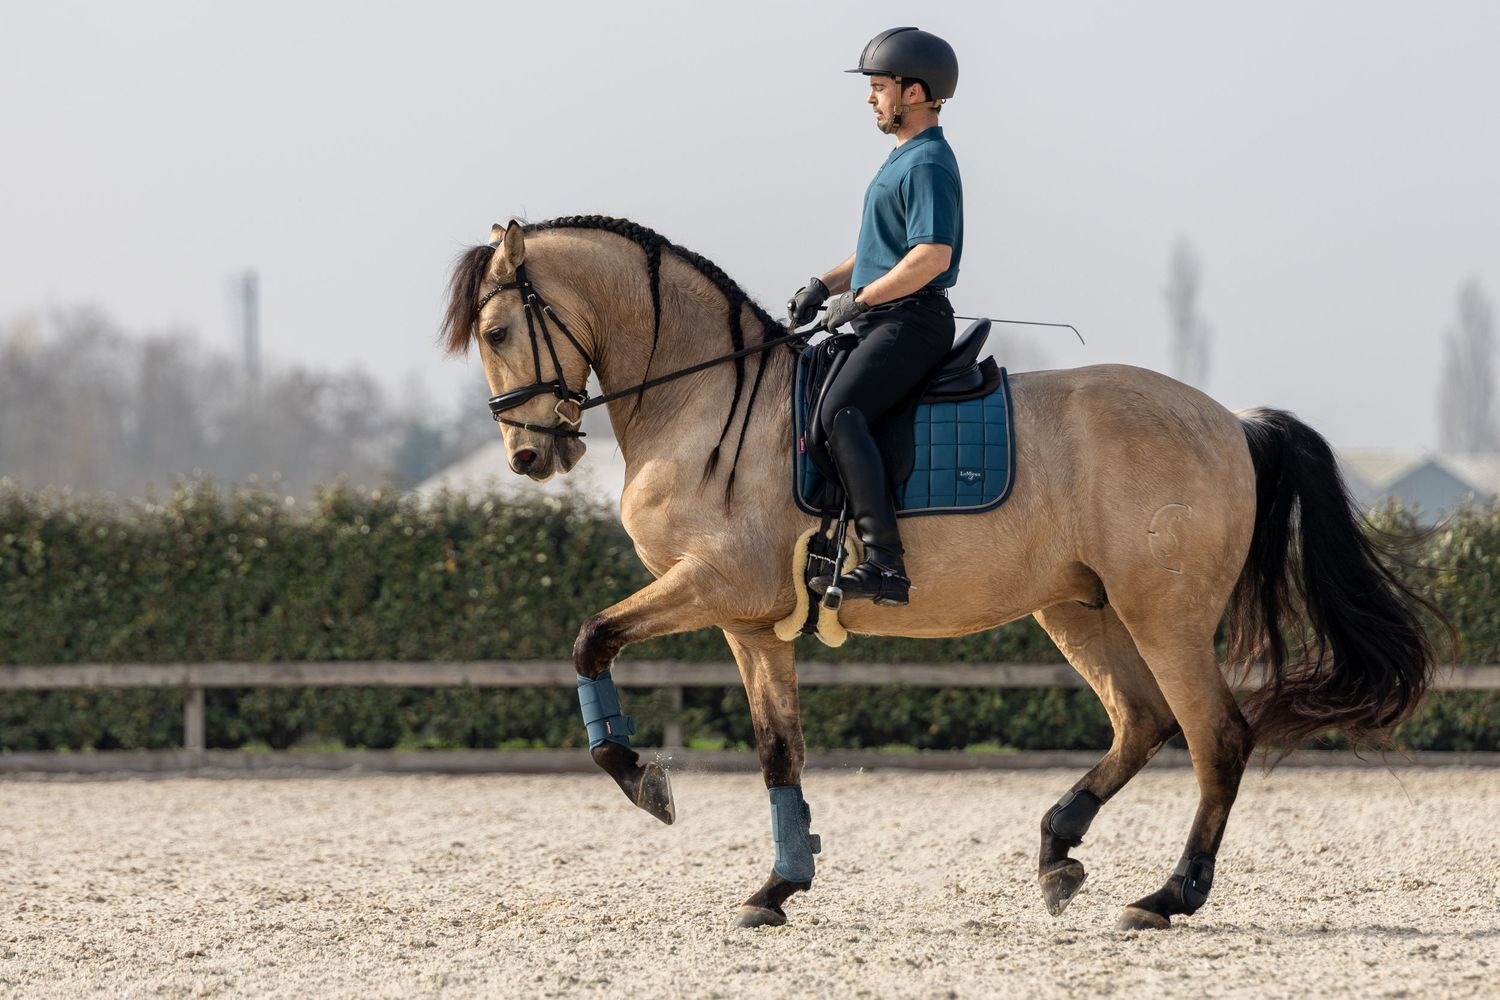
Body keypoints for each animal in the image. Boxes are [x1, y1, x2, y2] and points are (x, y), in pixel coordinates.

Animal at [441, 215, 1439, 931]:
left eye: (498, 328)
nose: (530, 456)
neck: (704, 399)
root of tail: (1230, 421)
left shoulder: (715, 587)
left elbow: (591, 638)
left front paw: (641, 779)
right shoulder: (753, 624)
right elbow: (777, 749)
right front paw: (779, 886)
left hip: (1166, 615)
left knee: (1215, 737)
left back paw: (1168, 896)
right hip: (1081, 609)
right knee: (1143, 721)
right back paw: (1057, 852)